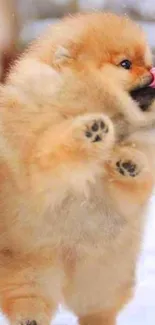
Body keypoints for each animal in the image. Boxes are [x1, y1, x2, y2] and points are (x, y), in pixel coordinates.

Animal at [0, 12, 155, 324]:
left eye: (146, 61)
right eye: (126, 64)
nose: (153, 71)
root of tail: (66, 262)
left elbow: (135, 178)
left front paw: (128, 161)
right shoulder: (37, 155)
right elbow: (50, 152)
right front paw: (90, 130)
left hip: (103, 270)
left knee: (97, 309)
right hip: (28, 265)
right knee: (28, 297)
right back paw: (29, 318)